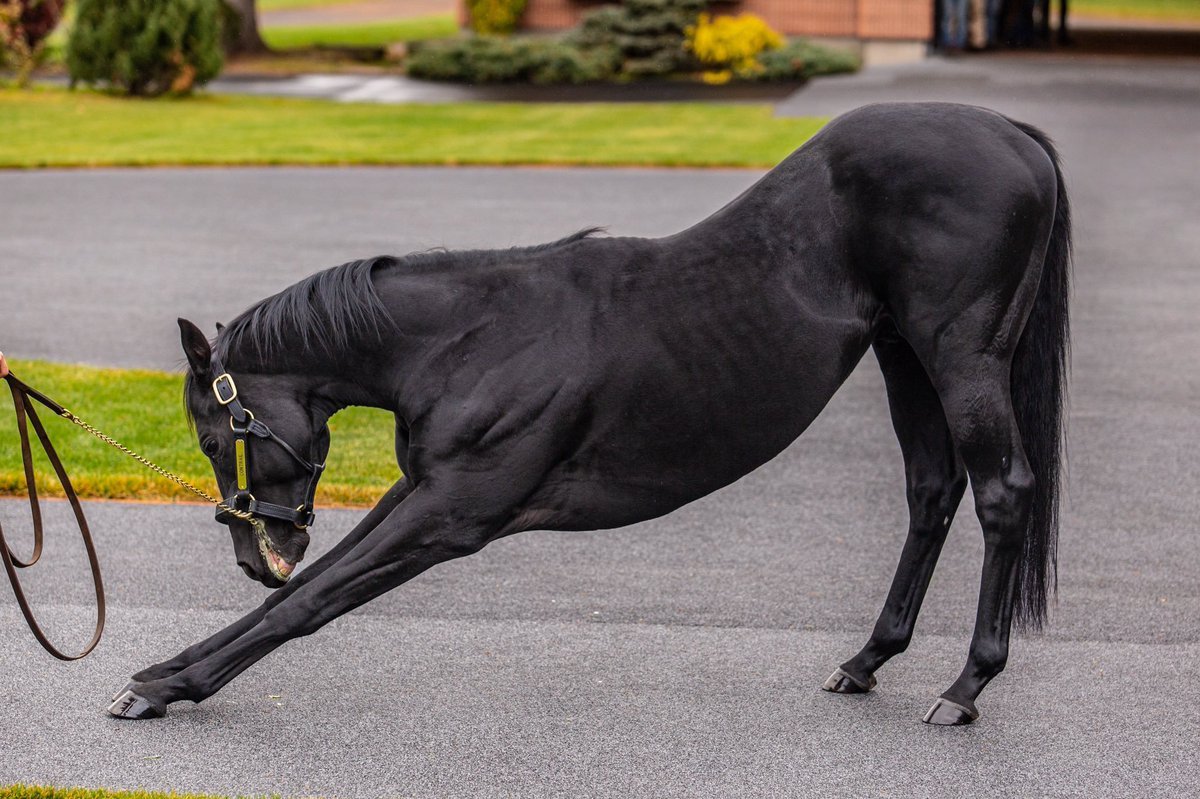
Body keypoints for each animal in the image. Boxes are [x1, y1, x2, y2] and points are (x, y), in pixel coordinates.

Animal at [108, 102, 1071, 726]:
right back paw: (868, 659)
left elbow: (311, 602)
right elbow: (319, 583)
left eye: (215, 435)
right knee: (931, 492)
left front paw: (165, 686)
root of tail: (1008, 132)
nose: (254, 554)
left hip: (962, 355)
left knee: (1001, 493)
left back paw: (966, 685)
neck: (470, 339)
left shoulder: (451, 512)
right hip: (904, 353)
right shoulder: (419, 490)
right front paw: (168, 666)